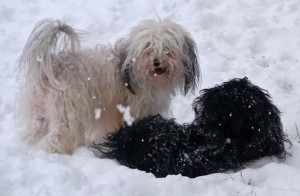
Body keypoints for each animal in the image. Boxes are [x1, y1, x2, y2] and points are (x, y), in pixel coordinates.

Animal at [16, 18, 199, 154]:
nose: (156, 62)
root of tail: (55, 65)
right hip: (67, 113)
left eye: (167, 48)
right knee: (57, 137)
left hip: (40, 112)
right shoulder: (137, 110)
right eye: (148, 48)